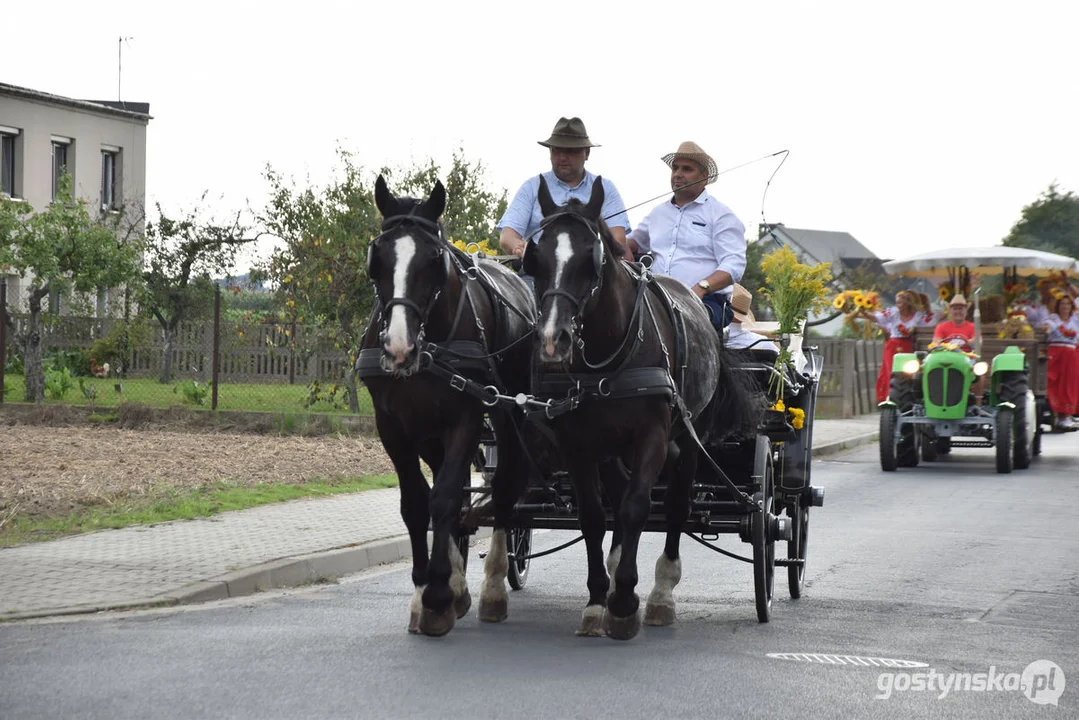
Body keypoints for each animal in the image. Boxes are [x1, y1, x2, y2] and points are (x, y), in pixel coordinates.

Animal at [358, 174, 535, 634]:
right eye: (377, 259)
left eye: (433, 259)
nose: (398, 348)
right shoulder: (393, 425)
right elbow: (418, 502)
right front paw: (429, 591)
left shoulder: (467, 416)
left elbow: (445, 497)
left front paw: (438, 595)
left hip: (508, 414)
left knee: (505, 486)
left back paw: (492, 586)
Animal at [522, 177, 759, 639]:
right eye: (535, 258)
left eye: (590, 260)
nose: (553, 340)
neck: (608, 353)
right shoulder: (578, 444)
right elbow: (594, 517)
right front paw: (599, 599)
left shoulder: (652, 436)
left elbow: (637, 507)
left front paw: (625, 601)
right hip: (614, 445)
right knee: (618, 496)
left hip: (689, 435)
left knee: (677, 504)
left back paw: (662, 592)